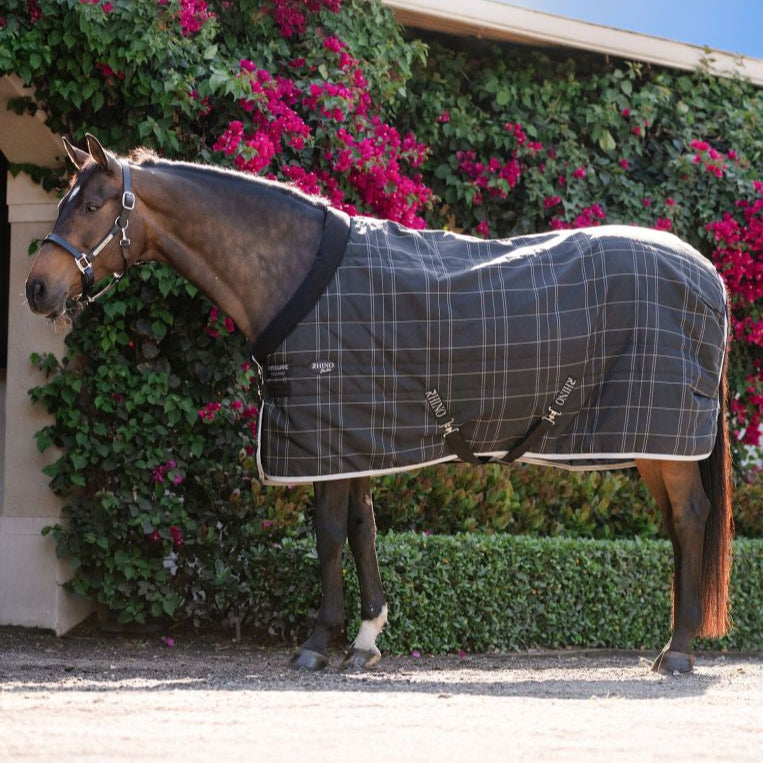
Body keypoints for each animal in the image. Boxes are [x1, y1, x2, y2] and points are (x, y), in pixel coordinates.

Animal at [25, 135, 733, 675]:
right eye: (62, 202)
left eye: (93, 204)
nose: (36, 288)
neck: (297, 271)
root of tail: (708, 274)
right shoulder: (353, 436)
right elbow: (362, 529)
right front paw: (366, 638)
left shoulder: (325, 433)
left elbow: (329, 534)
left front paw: (318, 643)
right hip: (653, 443)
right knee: (679, 526)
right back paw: (671, 643)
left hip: (666, 439)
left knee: (693, 518)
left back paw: (678, 652)